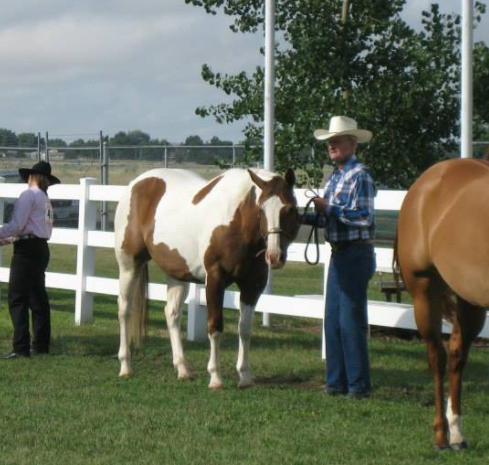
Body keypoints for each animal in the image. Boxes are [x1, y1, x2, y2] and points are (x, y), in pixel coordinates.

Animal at [115, 167, 298, 388]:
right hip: (129, 265)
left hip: (177, 273)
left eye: (290, 209)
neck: (236, 221)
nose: (275, 256)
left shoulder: (253, 285)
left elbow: (245, 329)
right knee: (125, 309)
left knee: (172, 314)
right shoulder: (215, 280)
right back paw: (125, 366)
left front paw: (244, 377)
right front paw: (216, 377)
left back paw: (183, 369)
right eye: (261, 210)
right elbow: (215, 327)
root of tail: (137, 183)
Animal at [394, 158, 486, 448]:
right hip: (424, 290)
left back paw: (456, 433)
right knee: (437, 357)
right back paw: (441, 435)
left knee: (457, 353)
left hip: (470, 298)